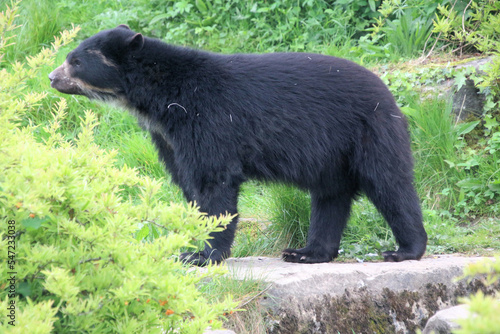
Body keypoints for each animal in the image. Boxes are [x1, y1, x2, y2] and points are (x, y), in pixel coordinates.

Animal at [48, 24, 428, 266]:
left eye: (76, 61)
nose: (52, 77)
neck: (160, 101)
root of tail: (388, 94)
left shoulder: (207, 120)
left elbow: (213, 183)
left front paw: (201, 255)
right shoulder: (167, 138)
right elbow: (187, 185)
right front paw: (192, 246)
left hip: (368, 133)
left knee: (389, 185)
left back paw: (405, 250)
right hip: (331, 155)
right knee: (331, 197)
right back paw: (307, 252)